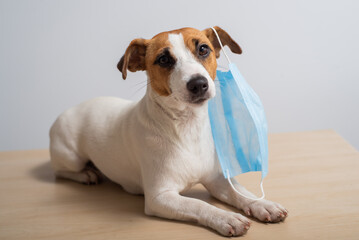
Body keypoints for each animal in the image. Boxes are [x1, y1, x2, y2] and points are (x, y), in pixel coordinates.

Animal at [49, 25, 288, 236]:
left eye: (203, 49)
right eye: (163, 59)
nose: (198, 84)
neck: (187, 127)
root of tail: (72, 108)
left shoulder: (217, 179)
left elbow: (240, 192)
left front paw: (262, 204)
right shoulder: (160, 197)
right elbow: (199, 204)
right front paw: (226, 217)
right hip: (71, 156)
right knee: (60, 170)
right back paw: (86, 174)